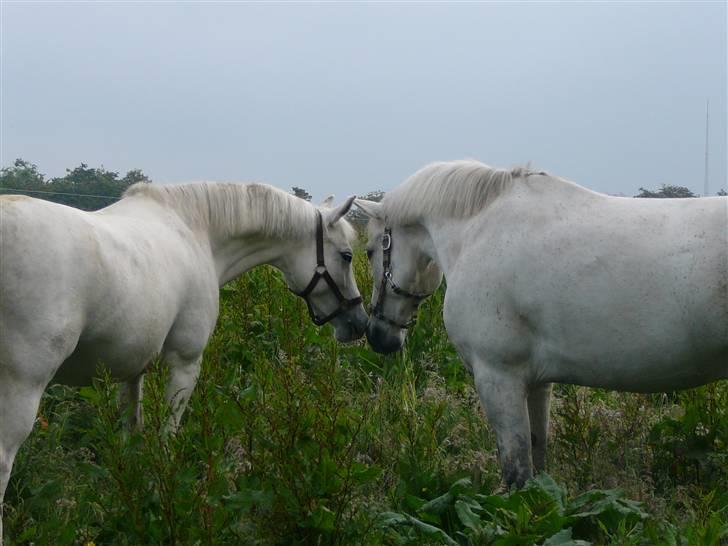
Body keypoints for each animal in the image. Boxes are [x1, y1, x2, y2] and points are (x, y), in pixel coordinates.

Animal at [0, 181, 366, 536]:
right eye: (347, 255)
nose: (359, 323)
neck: (197, 231)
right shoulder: (185, 363)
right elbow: (167, 438)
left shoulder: (132, 371)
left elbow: (132, 436)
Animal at [356, 159, 728, 486]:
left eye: (370, 250)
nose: (378, 335)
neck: (478, 232)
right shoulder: (536, 382)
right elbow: (537, 459)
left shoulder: (498, 378)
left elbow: (517, 471)